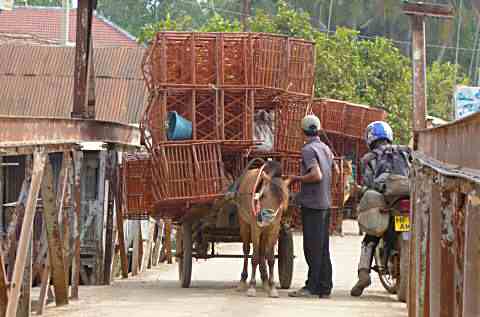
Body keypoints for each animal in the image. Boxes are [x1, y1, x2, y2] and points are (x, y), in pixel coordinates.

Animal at [234, 160, 290, 296]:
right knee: (247, 251)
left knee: (262, 252)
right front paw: (252, 287)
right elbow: (254, 258)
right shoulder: (255, 228)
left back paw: (265, 281)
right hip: (244, 224)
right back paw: (243, 280)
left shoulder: (274, 229)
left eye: (283, 199)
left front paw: (272, 287)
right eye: (263, 195)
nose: (266, 218)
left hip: (265, 232)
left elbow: (270, 258)